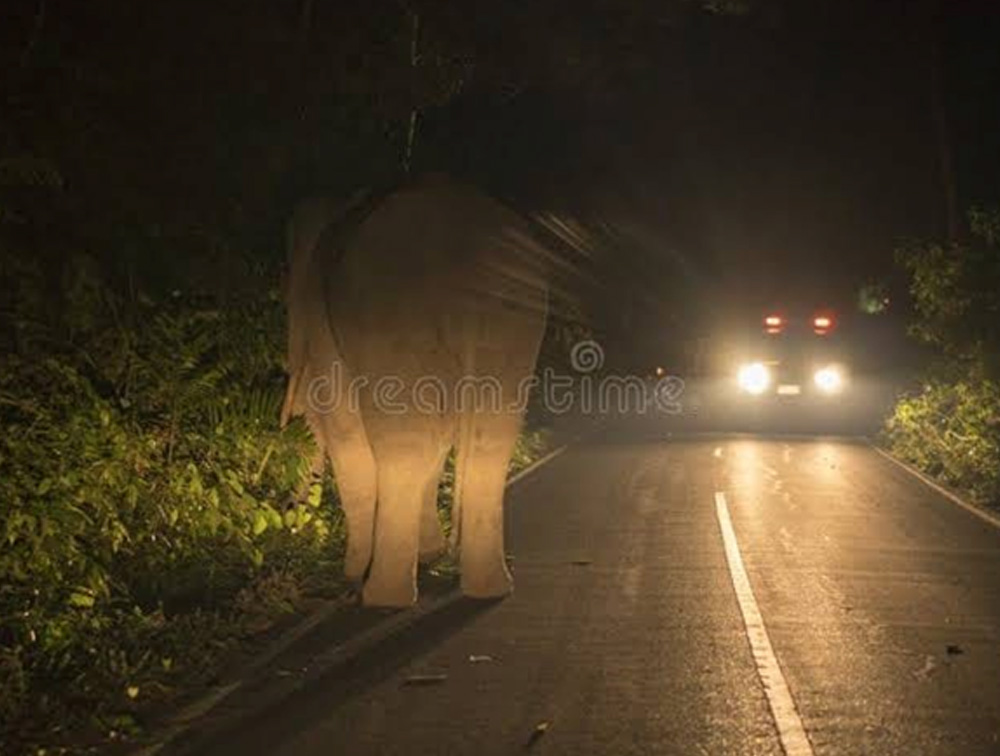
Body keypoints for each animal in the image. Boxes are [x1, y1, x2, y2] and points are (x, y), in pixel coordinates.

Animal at [282, 174, 556, 604]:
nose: (292, 516)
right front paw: (430, 555)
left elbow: (346, 431)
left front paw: (352, 574)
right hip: (516, 324)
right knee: (489, 439)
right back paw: (488, 588)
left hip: (390, 320)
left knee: (401, 442)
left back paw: (380, 597)